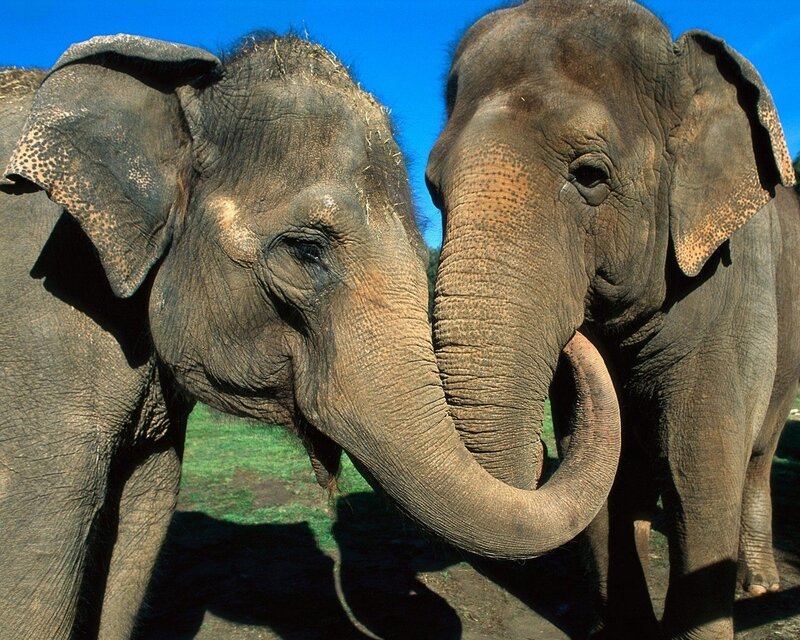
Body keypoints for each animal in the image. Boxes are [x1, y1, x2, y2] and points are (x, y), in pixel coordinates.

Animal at [425, 1, 799, 639]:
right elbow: (605, 478)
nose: (577, 335)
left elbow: (701, 468)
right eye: (432, 189)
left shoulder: (736, 287)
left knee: (757, 455)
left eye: (590, 175)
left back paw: (761, 586)